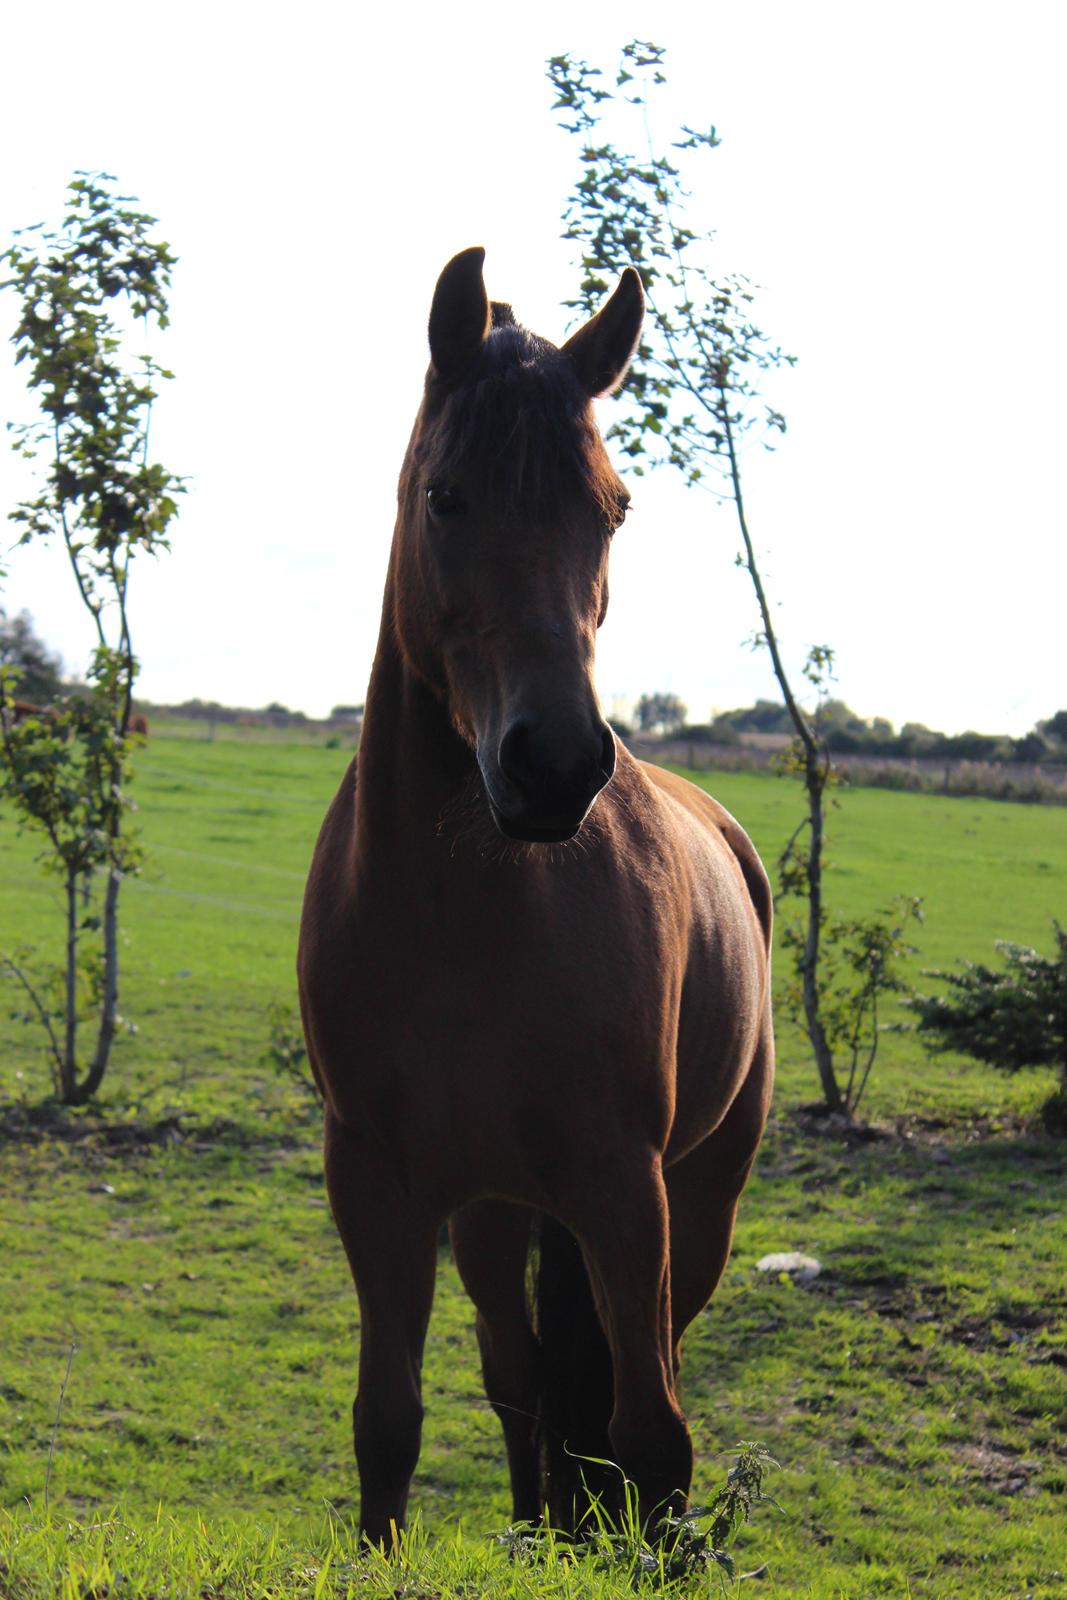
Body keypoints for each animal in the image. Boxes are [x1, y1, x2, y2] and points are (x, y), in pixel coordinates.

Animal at [295, 246, 771, 1536]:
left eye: (609, 509)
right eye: (445, 496)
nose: (554, 763)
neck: (462, 922)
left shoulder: (623, 1188)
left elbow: (652, 1436)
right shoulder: (380, 1187)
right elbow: (387, 1425)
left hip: (694, 1200)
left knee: (625, 1375)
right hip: (493, 1210)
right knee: (518, 1375)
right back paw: (537, 1524)